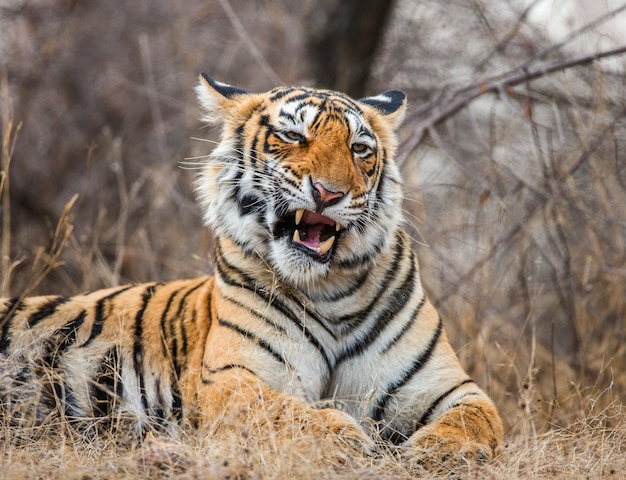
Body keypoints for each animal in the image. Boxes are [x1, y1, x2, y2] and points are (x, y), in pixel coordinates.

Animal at [0, 74, 500, 468]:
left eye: (359, 149)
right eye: (294, 136)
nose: (329, 193)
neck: (330, 289)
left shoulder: (447, 386)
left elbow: (478, 419)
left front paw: (439, 449)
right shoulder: (230, 377)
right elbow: (280, 410)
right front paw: (343, 438)